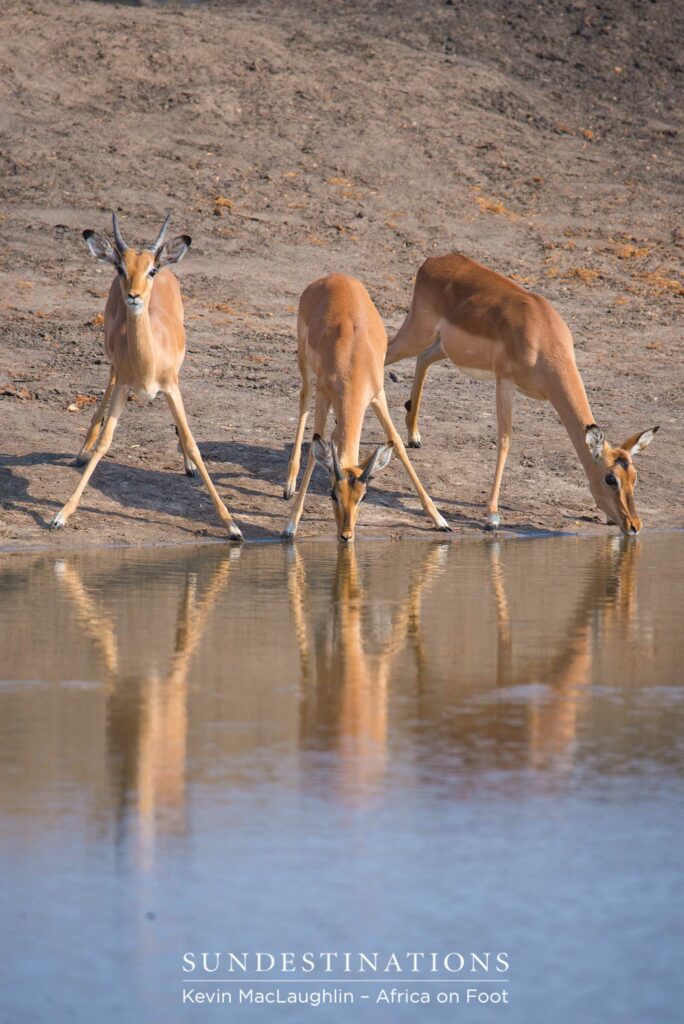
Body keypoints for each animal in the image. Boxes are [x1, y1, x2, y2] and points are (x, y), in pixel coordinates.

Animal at [49, 212, 242, 540]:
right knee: (109, 382)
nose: (134, 296)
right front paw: (61, 514)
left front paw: (232, 525)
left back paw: (187, 466)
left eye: (150, 270)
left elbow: (192, 441)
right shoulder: (124, 387)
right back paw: (82, 451)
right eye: (121, 268)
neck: (148, 362)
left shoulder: (171, 388)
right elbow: (105, 442)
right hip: (112, 362)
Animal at [283, 273, 450, 541]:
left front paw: (439, 520)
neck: (352, 358)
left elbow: (398, 443)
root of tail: (333, 277)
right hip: (306, 369)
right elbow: (314, 451)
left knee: (334, 433)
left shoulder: (377, 396)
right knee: (303, 402)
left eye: (362, 497)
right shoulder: (324, 395)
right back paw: (288, 486)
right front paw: (290, 526)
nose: (346, 534)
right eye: (332, 494)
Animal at [385, 253, 659, 534]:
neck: (542, 336)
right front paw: (492, 516)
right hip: (416, 333)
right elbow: (505, 440)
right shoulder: (504, 383)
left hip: (442, 346)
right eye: (610, 478)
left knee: (423, 358)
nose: (634, 525)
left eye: (634, 477)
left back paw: (414, 436)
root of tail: (435, 260)